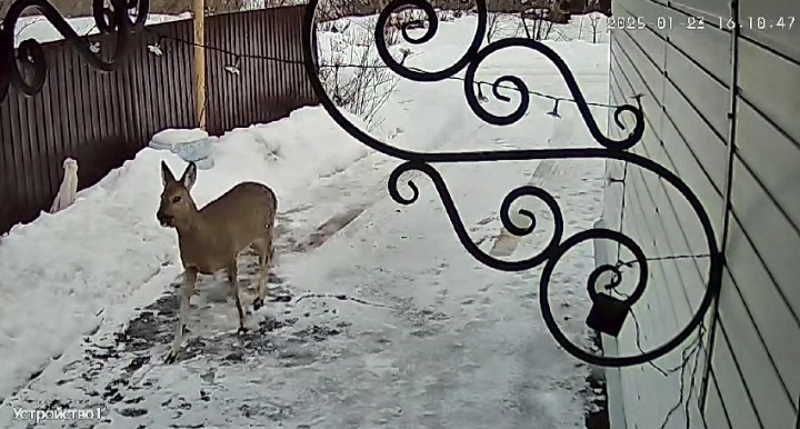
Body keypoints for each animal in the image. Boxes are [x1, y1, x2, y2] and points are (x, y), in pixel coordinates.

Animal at [156, 160, 278, 362]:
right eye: (161, 196)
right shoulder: (190, 266)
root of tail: (271, 192)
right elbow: (182, 309)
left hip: (263, 230)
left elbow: (236, 295)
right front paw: (172, 353)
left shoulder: (229, 255)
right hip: (254, 238)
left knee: (266, 256)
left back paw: (259, 299)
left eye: (177, 198)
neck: (203, 235)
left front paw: (243, 326)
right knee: (268, 253)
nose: (161, 216)